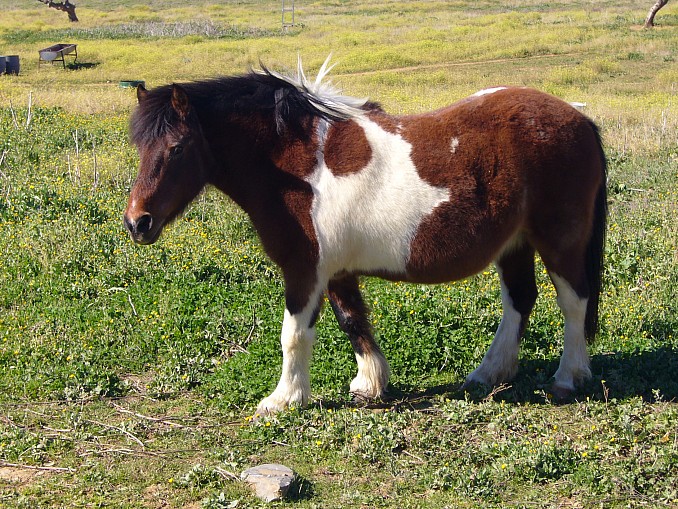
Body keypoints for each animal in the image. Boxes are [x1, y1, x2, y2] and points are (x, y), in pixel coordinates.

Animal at [124, 59, 607, 415]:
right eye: (140, 147)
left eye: (178, 148)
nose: (136, 222)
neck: (296, 164)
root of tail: (580, 118)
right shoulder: (335, 272)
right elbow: (353, 320)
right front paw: (370, 383)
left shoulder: (304, 271)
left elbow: (293, 335)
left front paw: (283, 400)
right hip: (514, 244)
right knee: (520, 300)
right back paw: (489, 374)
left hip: (559, 242)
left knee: (573, 302)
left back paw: (568, 377)